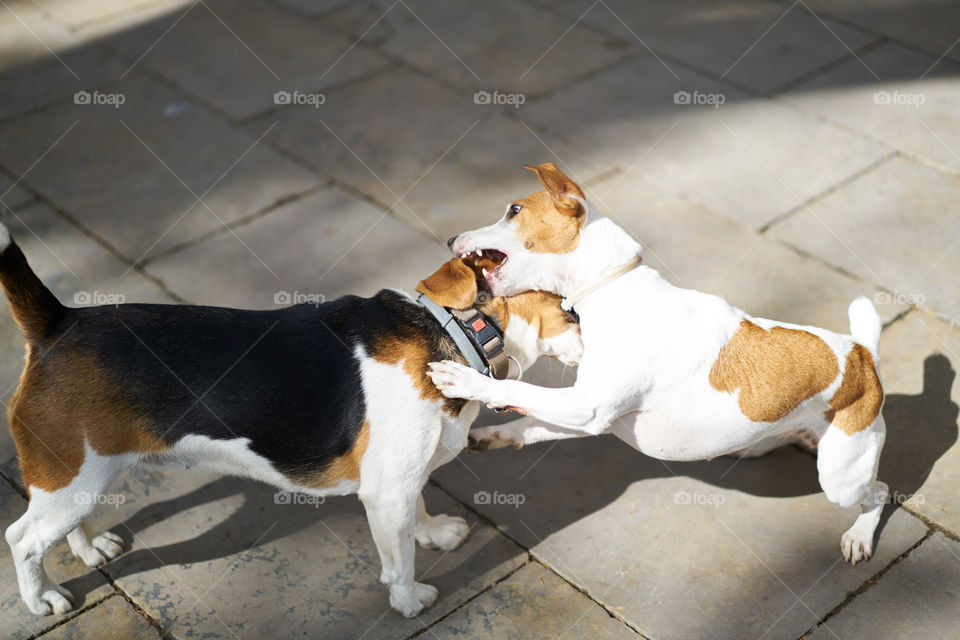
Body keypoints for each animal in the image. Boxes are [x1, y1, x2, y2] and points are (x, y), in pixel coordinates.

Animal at [0, 224, 580, 616]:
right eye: (574, 306)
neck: (456, 332)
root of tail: (58, 323)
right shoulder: (385, 493)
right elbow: (399, 562)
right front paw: (410, 600)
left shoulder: (400, 481)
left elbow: (418, 510)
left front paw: (433, 533)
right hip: (71, 478)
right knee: (23, 538)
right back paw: (42, 599)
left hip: (79, 477)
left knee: (62, 526)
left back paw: (89, 547)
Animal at [432, 162, 888, 564]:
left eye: (513, 210)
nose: (452, 237)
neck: (612, 287)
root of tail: (862, 353)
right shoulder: (593, 418)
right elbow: (528, 424)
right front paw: (491, 437)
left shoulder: (588, 407)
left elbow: (517, 388)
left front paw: (463, 380)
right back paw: (758, 446)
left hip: (842, 478)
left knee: (879, 491)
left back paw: (859, 536)